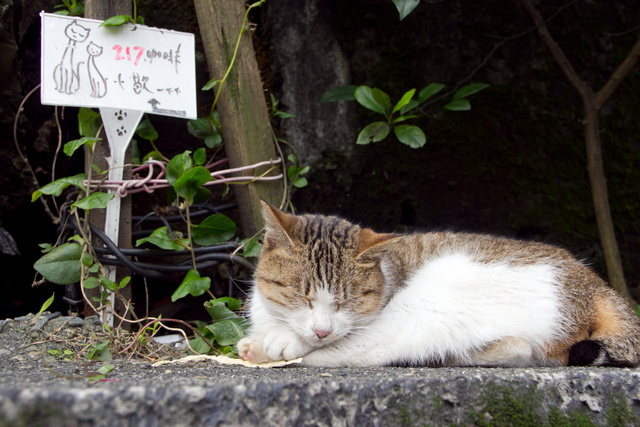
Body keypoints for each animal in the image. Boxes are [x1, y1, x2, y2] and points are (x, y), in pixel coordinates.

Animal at [236, 203, 640, 368]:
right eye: (298, 294)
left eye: (347, 300)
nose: (321, 330)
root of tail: (595, 283)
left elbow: (341, 343)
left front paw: (279, 343)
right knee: (522, 349)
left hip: (434, 292)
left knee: (365, 351)